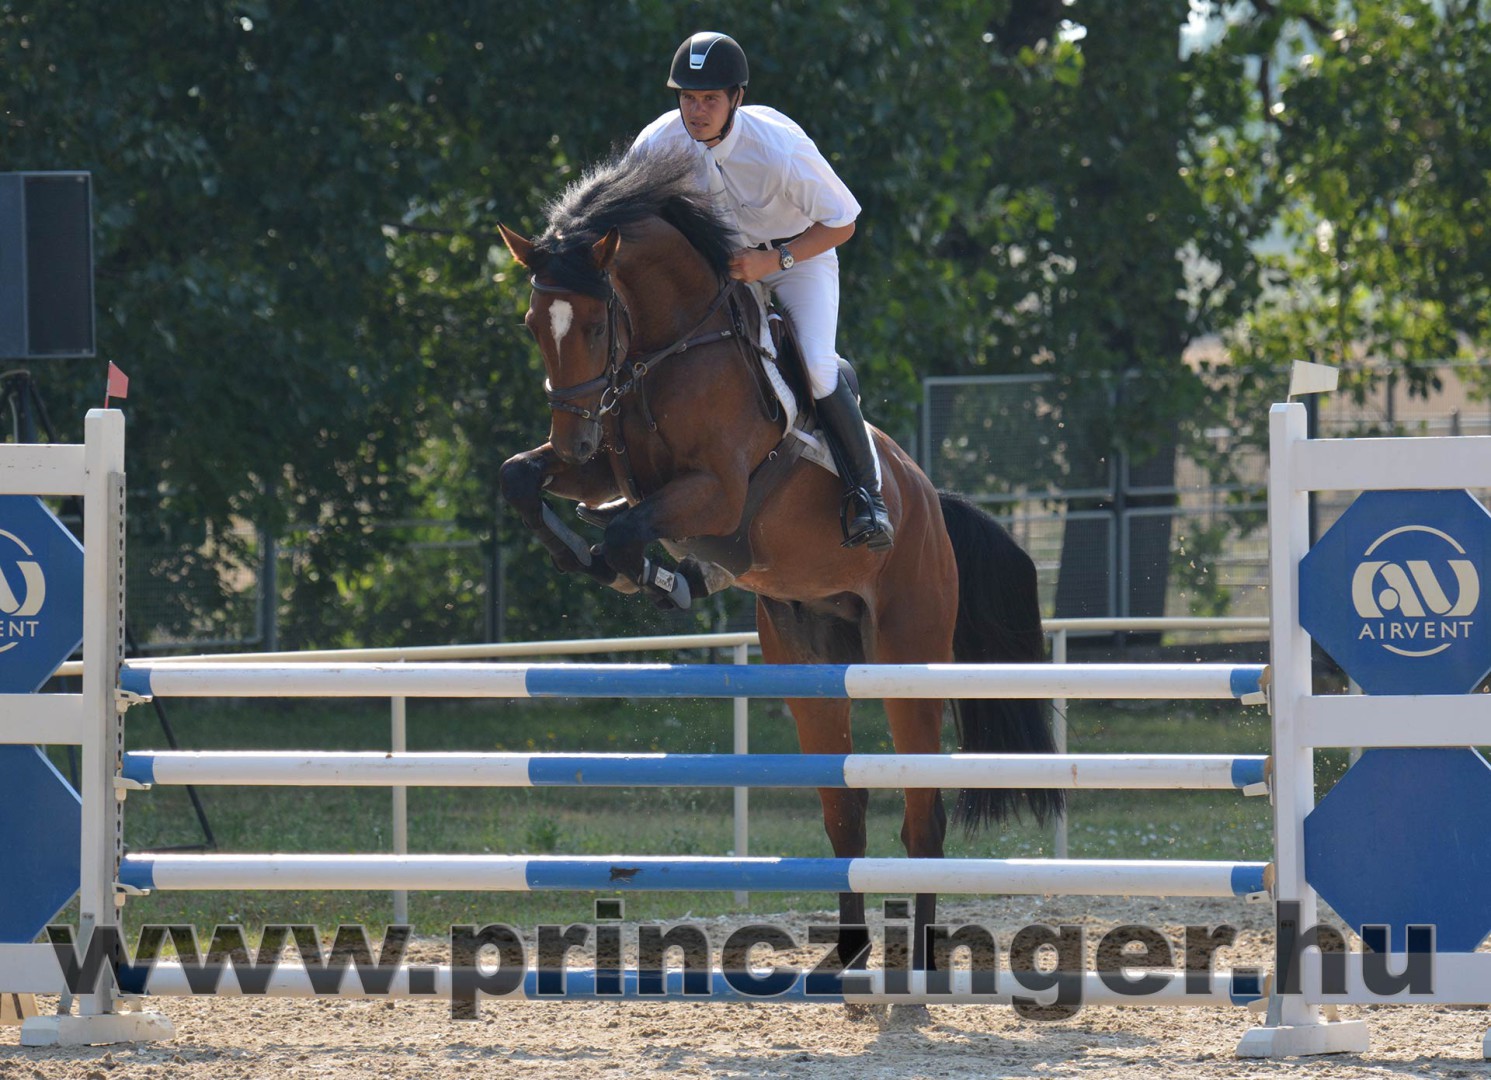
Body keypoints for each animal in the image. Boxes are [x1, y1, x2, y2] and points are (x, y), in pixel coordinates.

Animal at [496, 145, 1062, 986]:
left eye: (596, 323)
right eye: (535, 324)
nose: (574, 435)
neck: (669, 349)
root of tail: (927, 498)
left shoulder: (715, 492)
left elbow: (627, 530)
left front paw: (653, 576)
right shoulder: (605, 468)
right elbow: (521, 479)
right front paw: (596, 556)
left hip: (907, 653)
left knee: (921, 817)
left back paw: (922, 956)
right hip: (811, 662)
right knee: (844, 814)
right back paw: (849, 954)